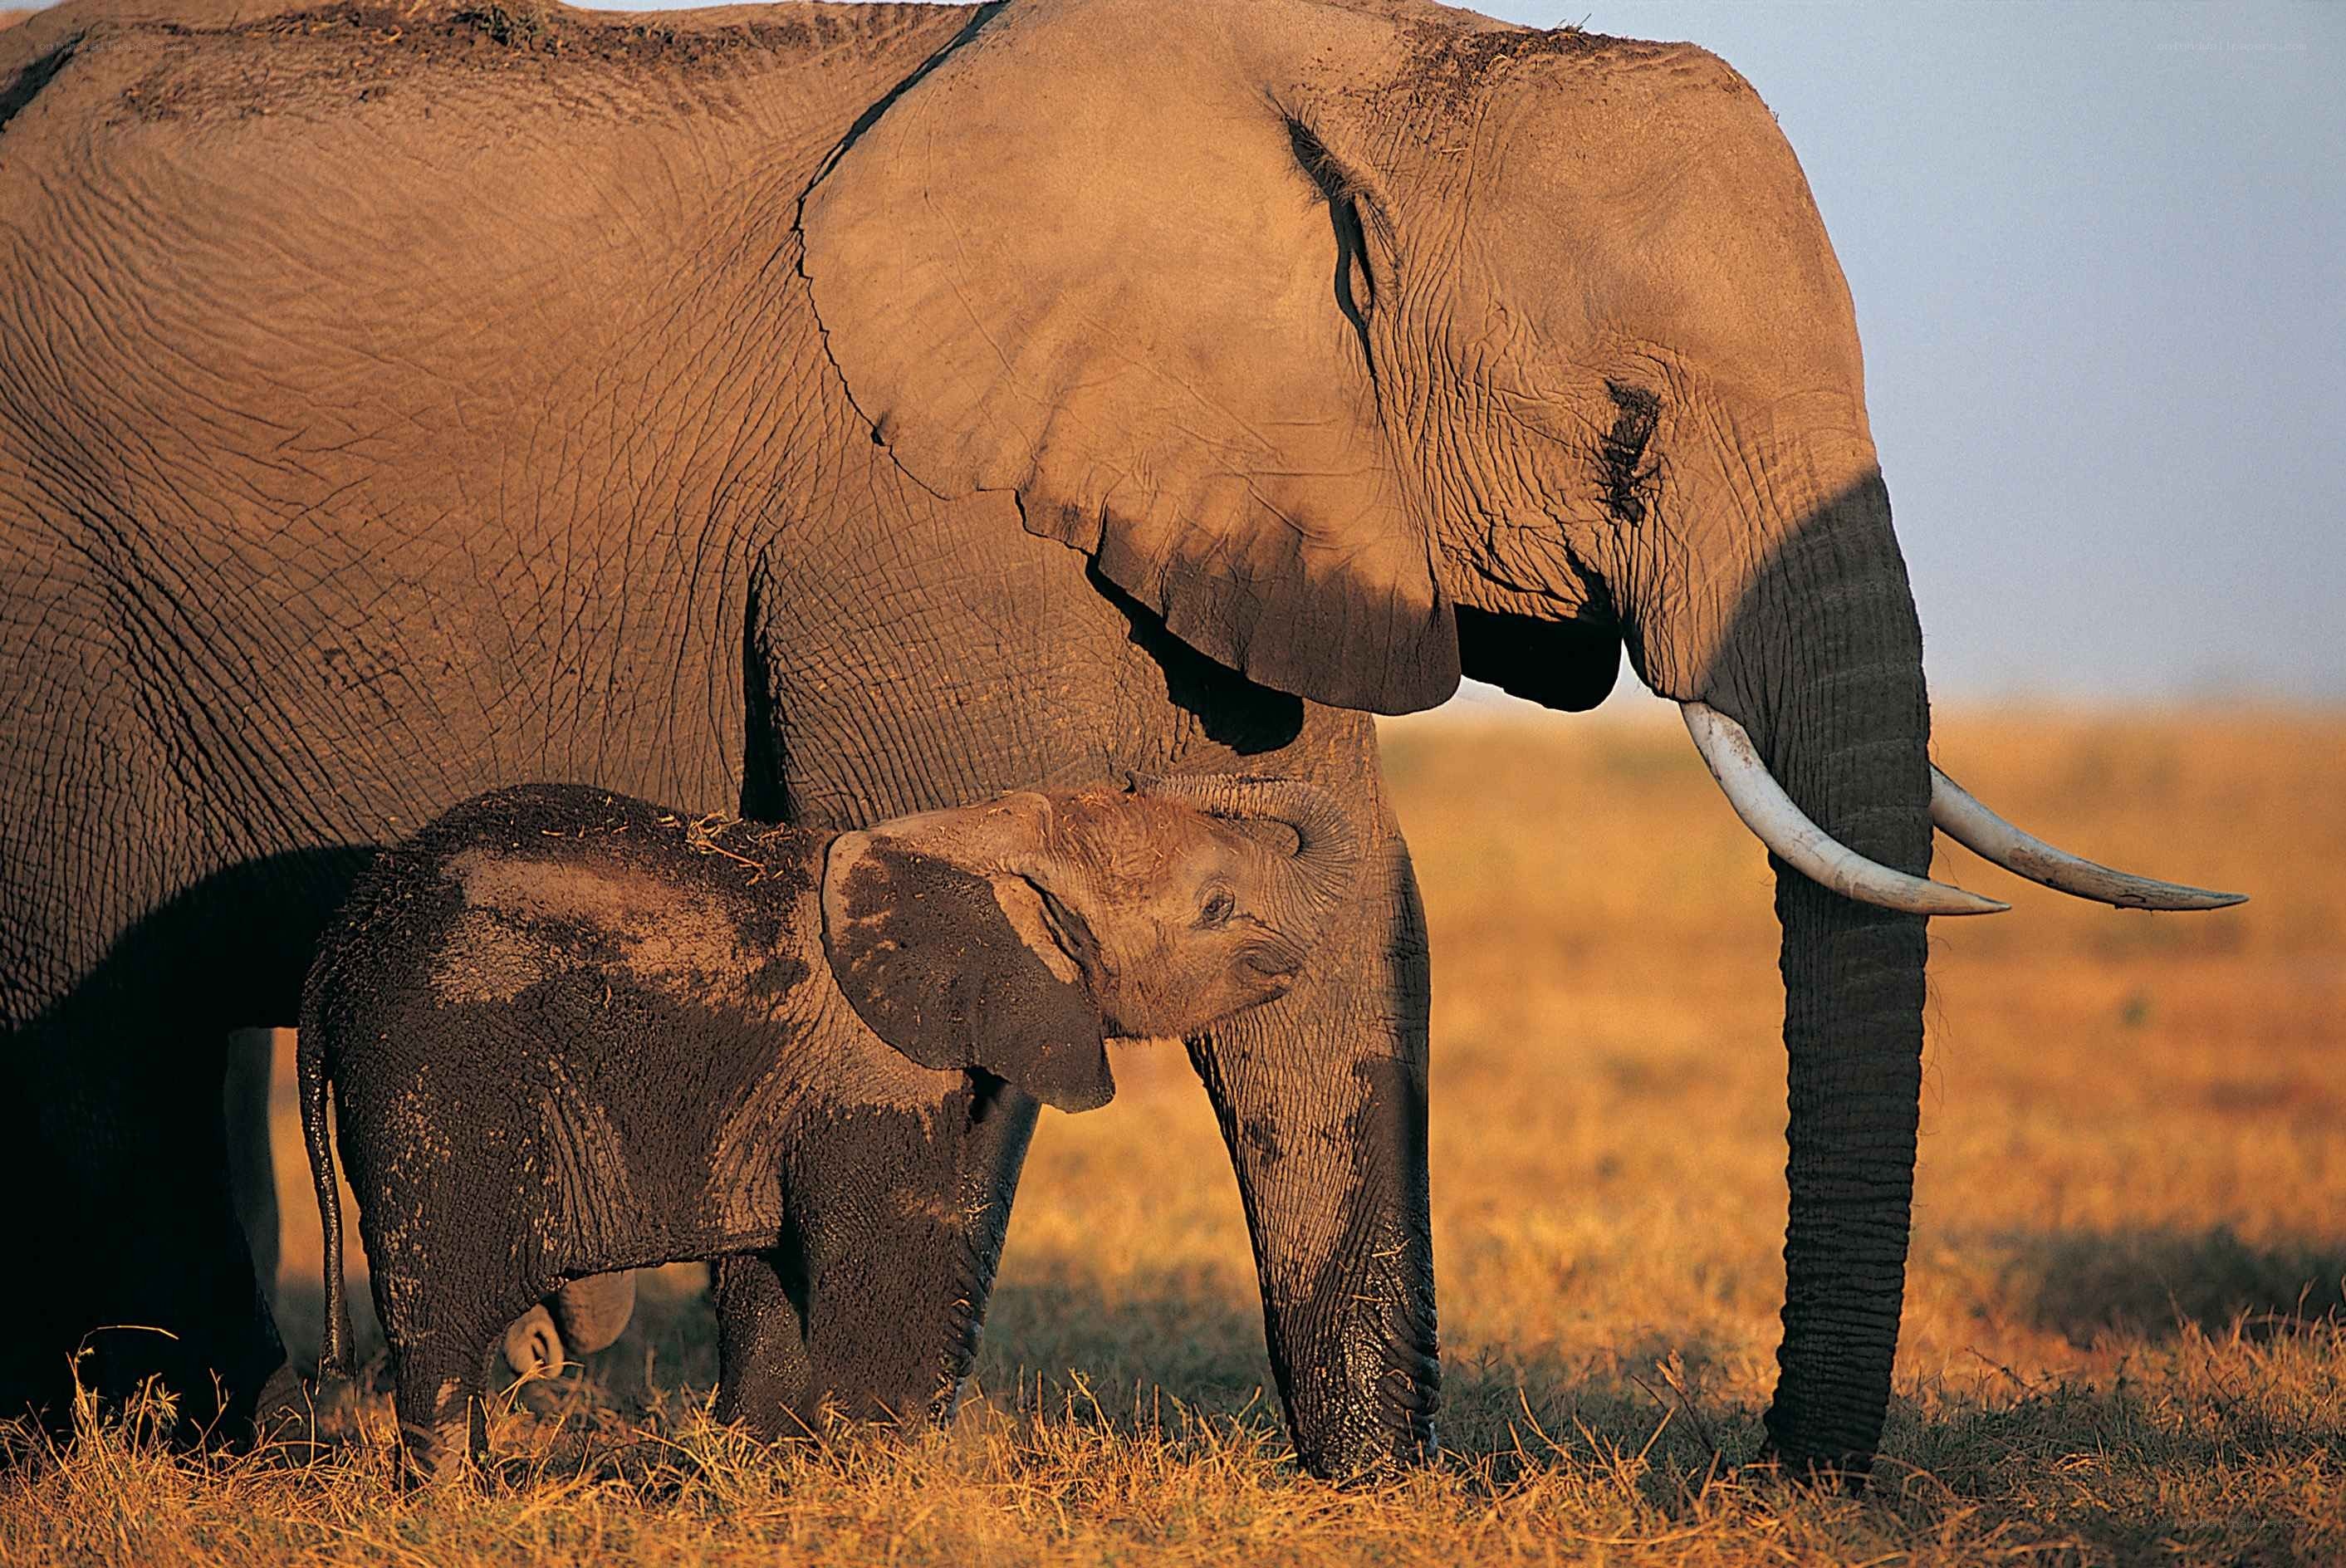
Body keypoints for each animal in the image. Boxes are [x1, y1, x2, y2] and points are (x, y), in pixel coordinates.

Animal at [301, 775, 1354, 1477]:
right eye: (1214, 906)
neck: (981, 835)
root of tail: (334, 950)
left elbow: (780, 1272)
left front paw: (761, 1478)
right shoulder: (873, 1068)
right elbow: (886, 1254)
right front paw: (883, 1478)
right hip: (434, 1065)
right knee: (441, 1309)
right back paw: (454, 1503)